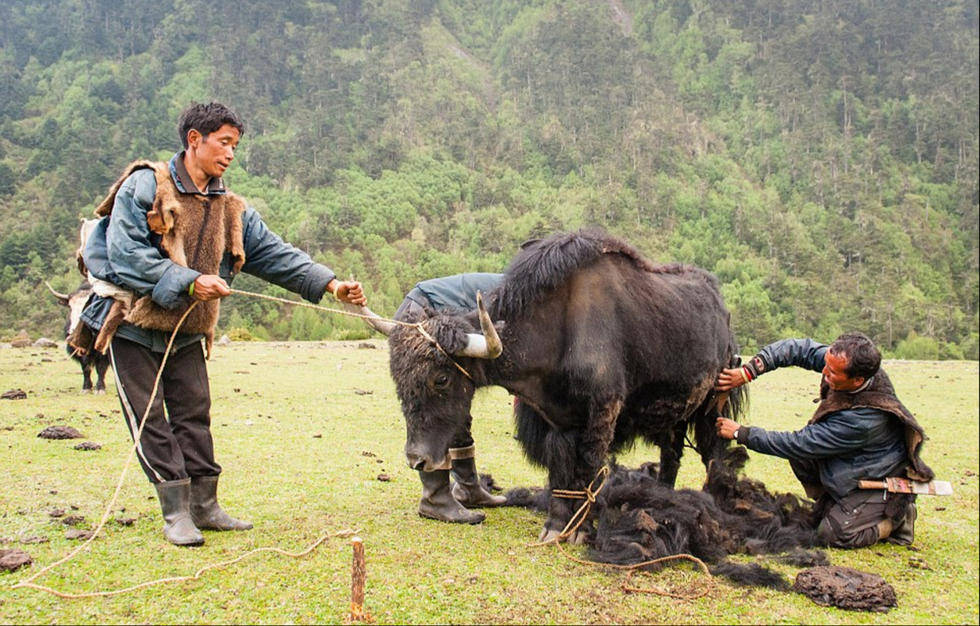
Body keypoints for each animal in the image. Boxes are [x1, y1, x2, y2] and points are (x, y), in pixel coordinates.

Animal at [359, 230, 746, 543]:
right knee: (671, 455)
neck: (560, 327)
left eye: (441, 378)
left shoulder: (602, 411)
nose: (417, 459)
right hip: (673, 414)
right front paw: (555, 528)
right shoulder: (557, 420)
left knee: (712, 453)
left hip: (713, 405)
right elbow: (561, 470)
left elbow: (588, 468)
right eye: (398, 377)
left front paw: (579, 531)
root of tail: (724, 314)